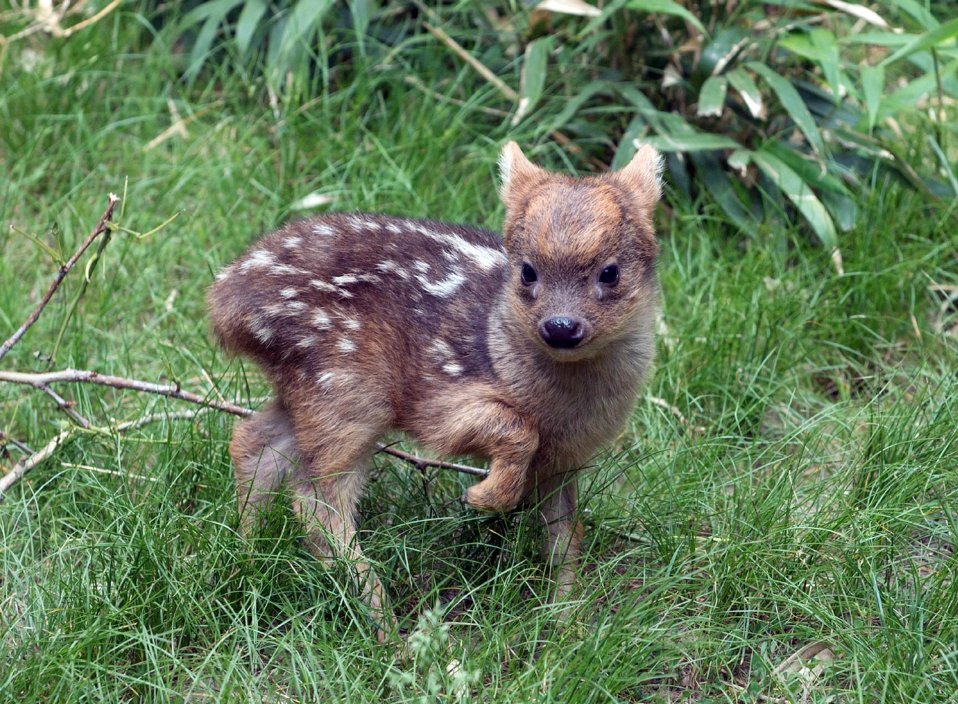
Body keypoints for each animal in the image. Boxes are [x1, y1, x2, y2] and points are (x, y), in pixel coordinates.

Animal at [207, 143, 664, 640]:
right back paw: (387, 629)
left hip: (308, 388)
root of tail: (225, 304)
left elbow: (565, 534)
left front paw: (569, 623)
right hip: (346, 385)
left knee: (254, 441)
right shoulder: (440, 400)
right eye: (527, 272)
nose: (561, 327)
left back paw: (246, 552)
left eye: (610, 272)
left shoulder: (566, 458)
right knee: (316, 502)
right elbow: (514, 429)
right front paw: (483, 497)